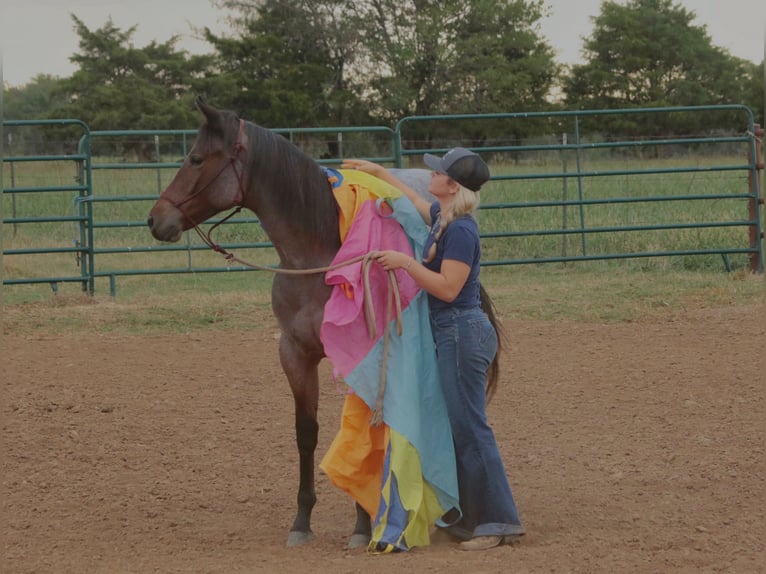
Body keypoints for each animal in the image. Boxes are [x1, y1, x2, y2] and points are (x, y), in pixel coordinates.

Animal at [147, 96, 503, 548]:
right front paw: (302, 521)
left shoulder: (359, 357)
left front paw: (363, 524)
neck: (318, 260)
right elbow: (307, 432)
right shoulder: (294, 353)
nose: (155, 219)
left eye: (196, 158)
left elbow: (361, 436)